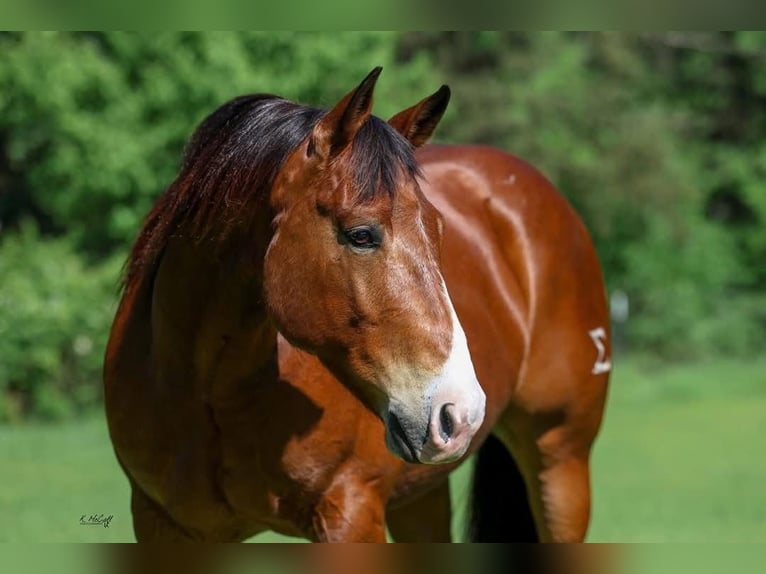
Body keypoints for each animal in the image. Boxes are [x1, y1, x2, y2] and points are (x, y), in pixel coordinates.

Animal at [103, 67, 611, 542]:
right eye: (361, 235)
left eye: (439, 230)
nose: (460, 413)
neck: (210, 391)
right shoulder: (163, 526)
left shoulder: (348, 514)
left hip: (560, 462)